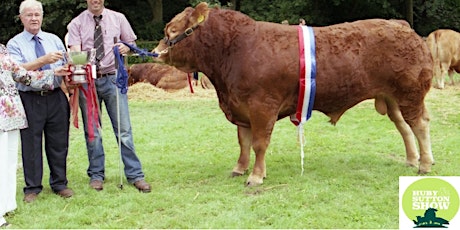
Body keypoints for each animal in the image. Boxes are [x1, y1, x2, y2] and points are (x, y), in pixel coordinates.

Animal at [154, 2, 434, 186]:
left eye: (173, 30)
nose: (156, 53)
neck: (234, 50)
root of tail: (402, 26)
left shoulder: (262, 106)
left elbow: (259, 143)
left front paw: (256, 176)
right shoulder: (241, 108)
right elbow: (243, 143)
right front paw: (239, 169)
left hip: (410, 94)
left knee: (419, 125)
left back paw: (424, 164)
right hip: (392, 98)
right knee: (404, 127)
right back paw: (411, 160)